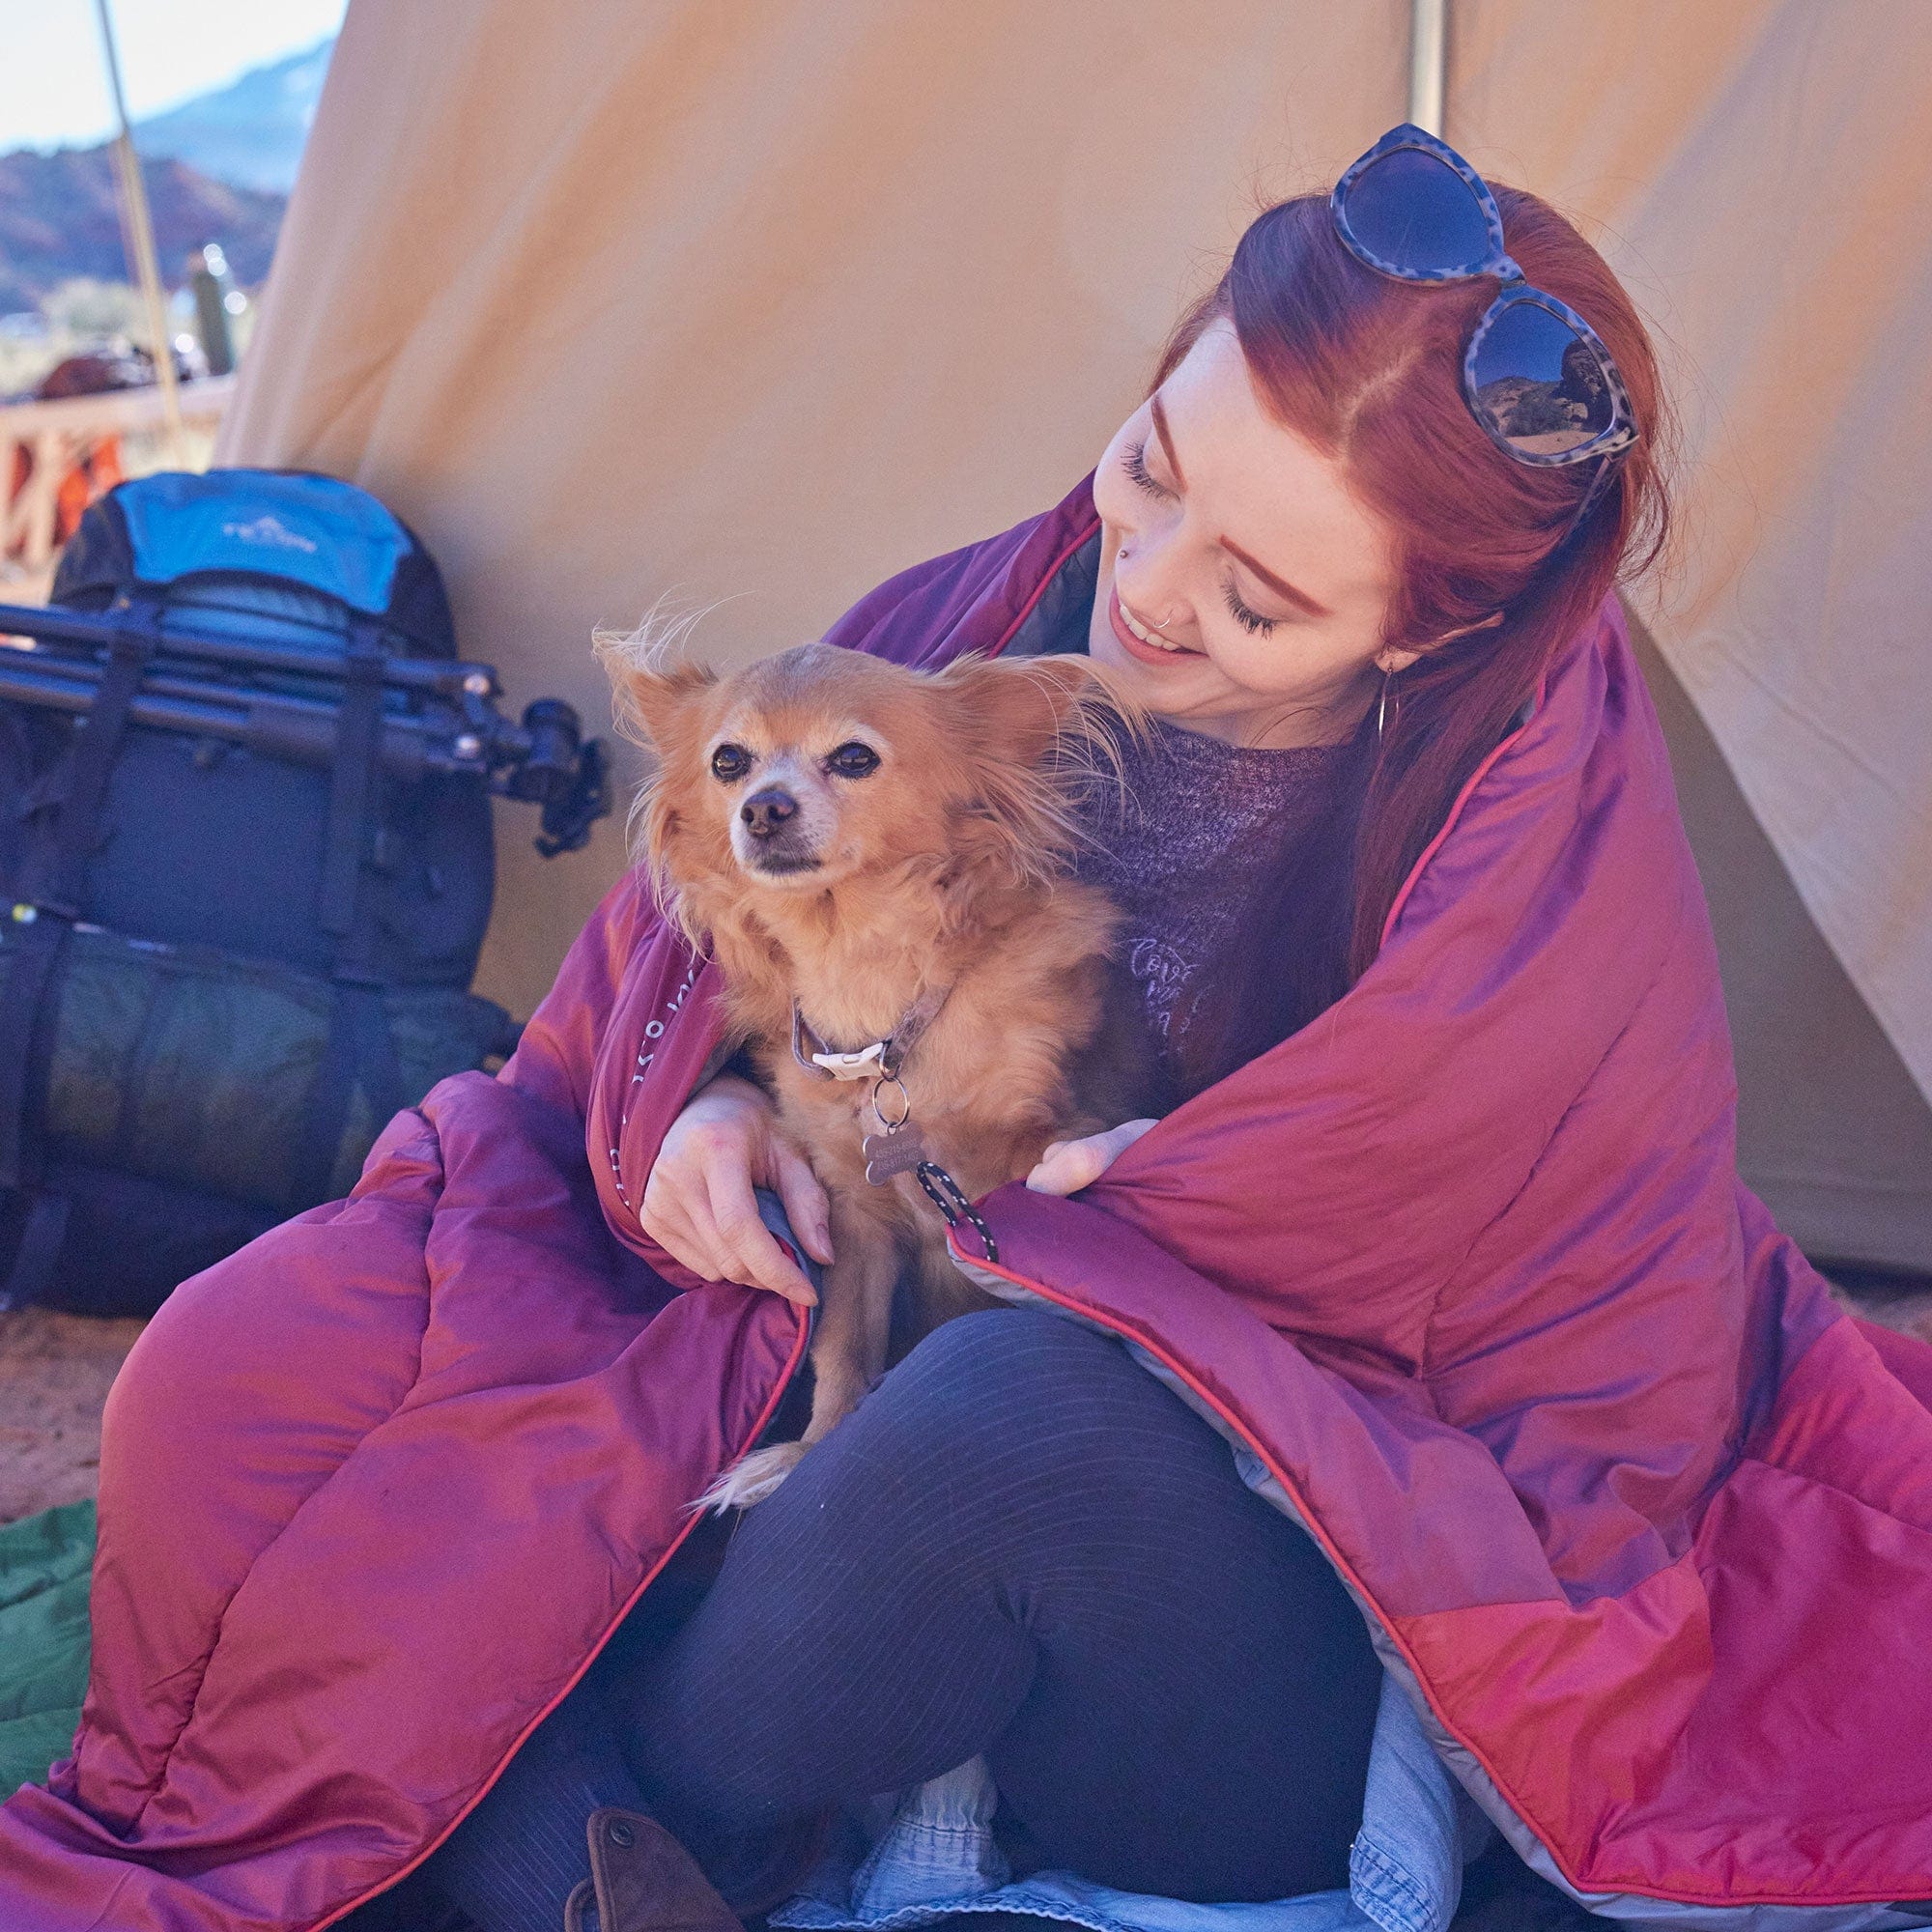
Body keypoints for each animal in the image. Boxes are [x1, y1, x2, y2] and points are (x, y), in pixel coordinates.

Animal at [599, 634, 1144, 1507]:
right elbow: (845, 1345)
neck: (873, 1012)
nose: (763, 806)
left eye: (854, 757)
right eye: (728, 762)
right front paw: (809, 1452)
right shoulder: (852, 1217)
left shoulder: (1035, 1147)